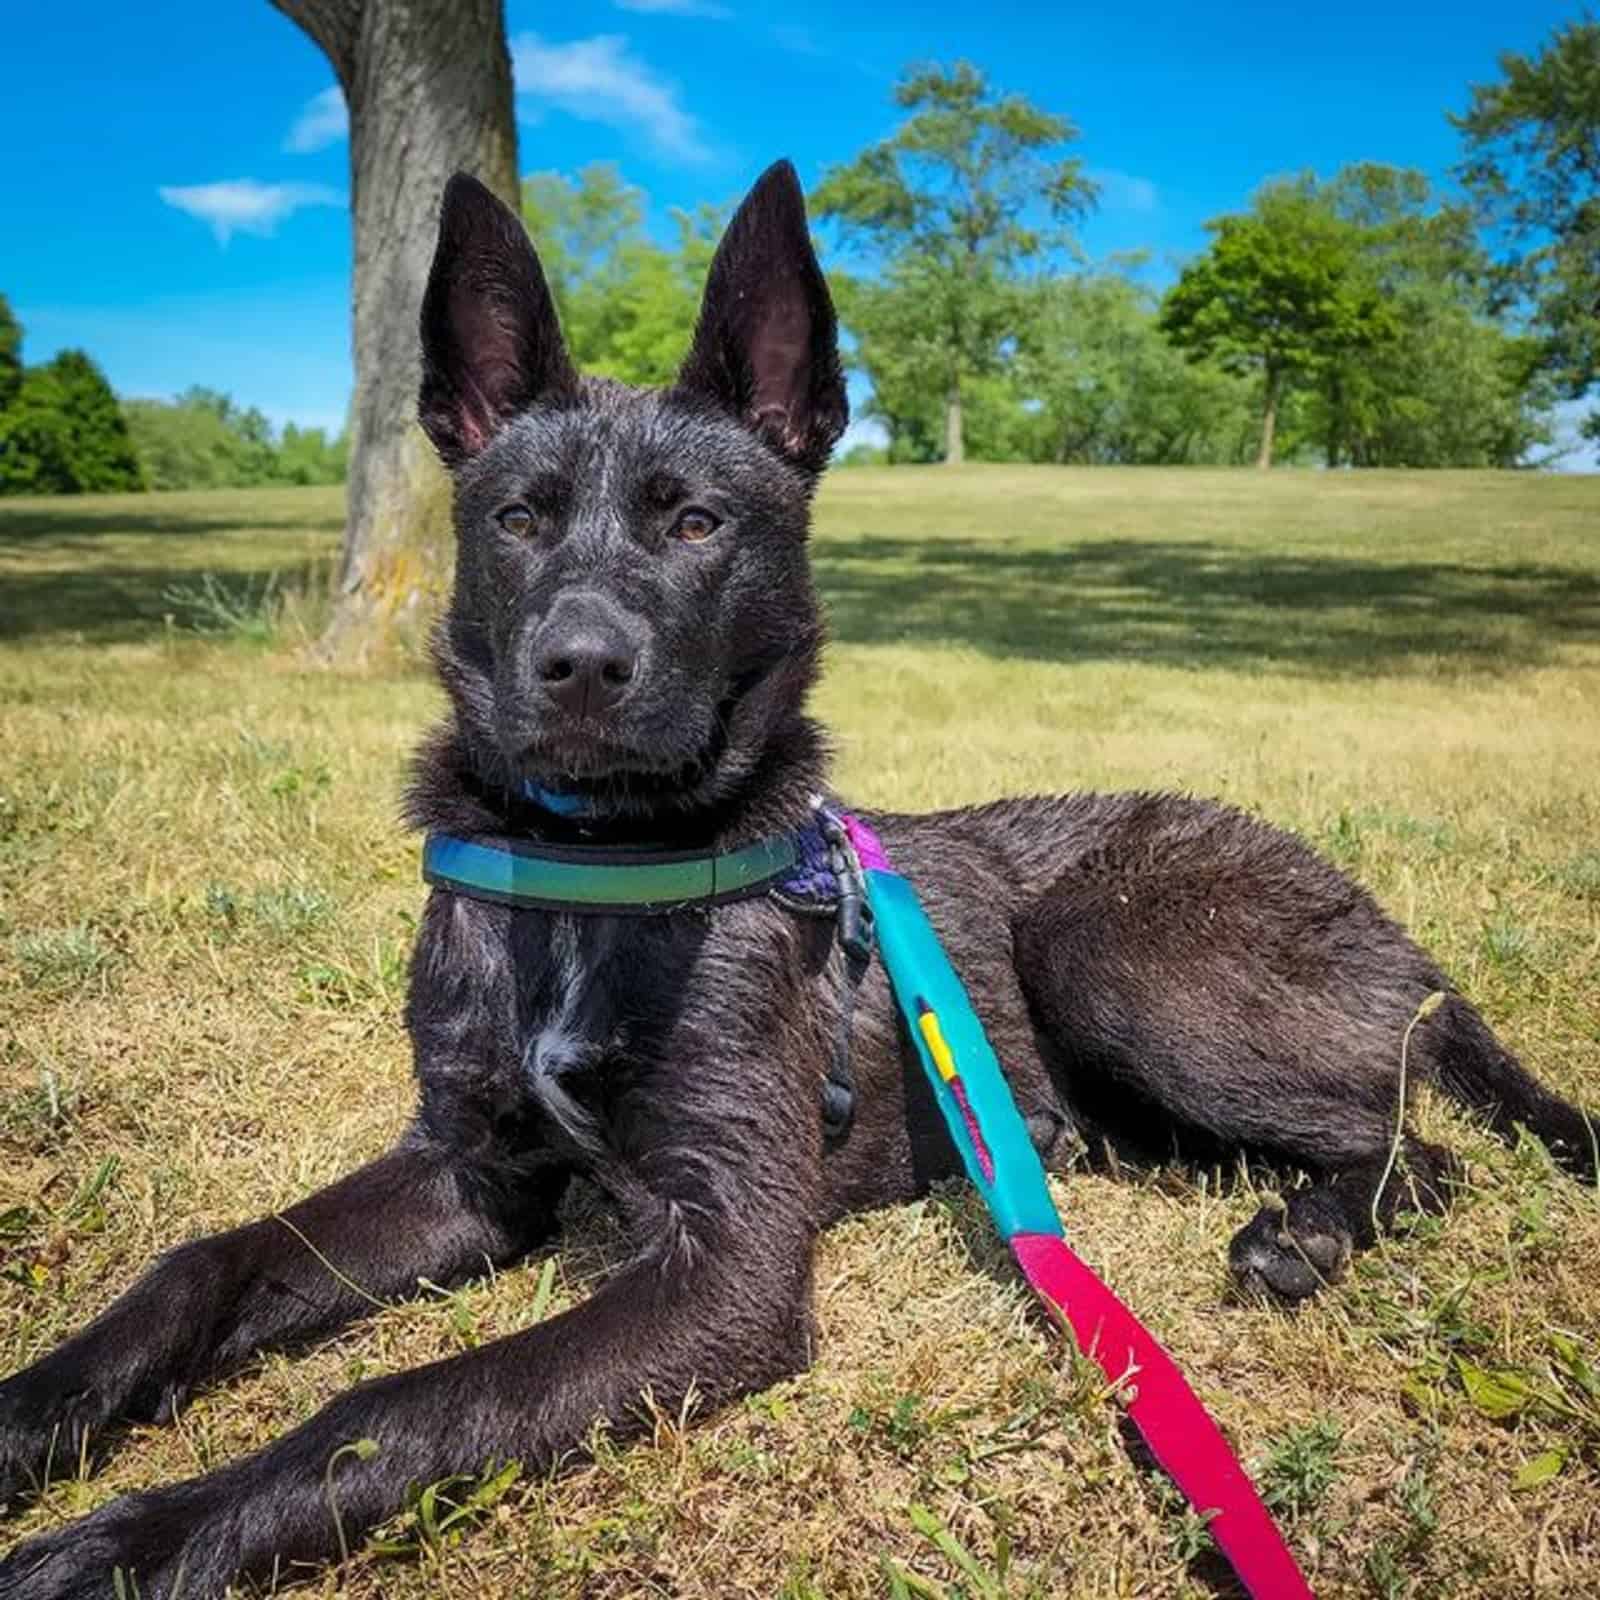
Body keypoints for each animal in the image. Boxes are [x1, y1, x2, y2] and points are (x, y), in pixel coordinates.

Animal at [0, 165, 1593, 1600]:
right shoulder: (469, 1167)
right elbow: (203, 1263)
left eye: (696, 522)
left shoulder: (728, 1261)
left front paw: (139, 1537)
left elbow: (397, 1407)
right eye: (516, 519)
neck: (596, 866)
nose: (577, 668)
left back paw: (1308, 1233)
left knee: (1416, 1144)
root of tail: (1397, 934)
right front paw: (35, 1416)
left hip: (1113, 953)